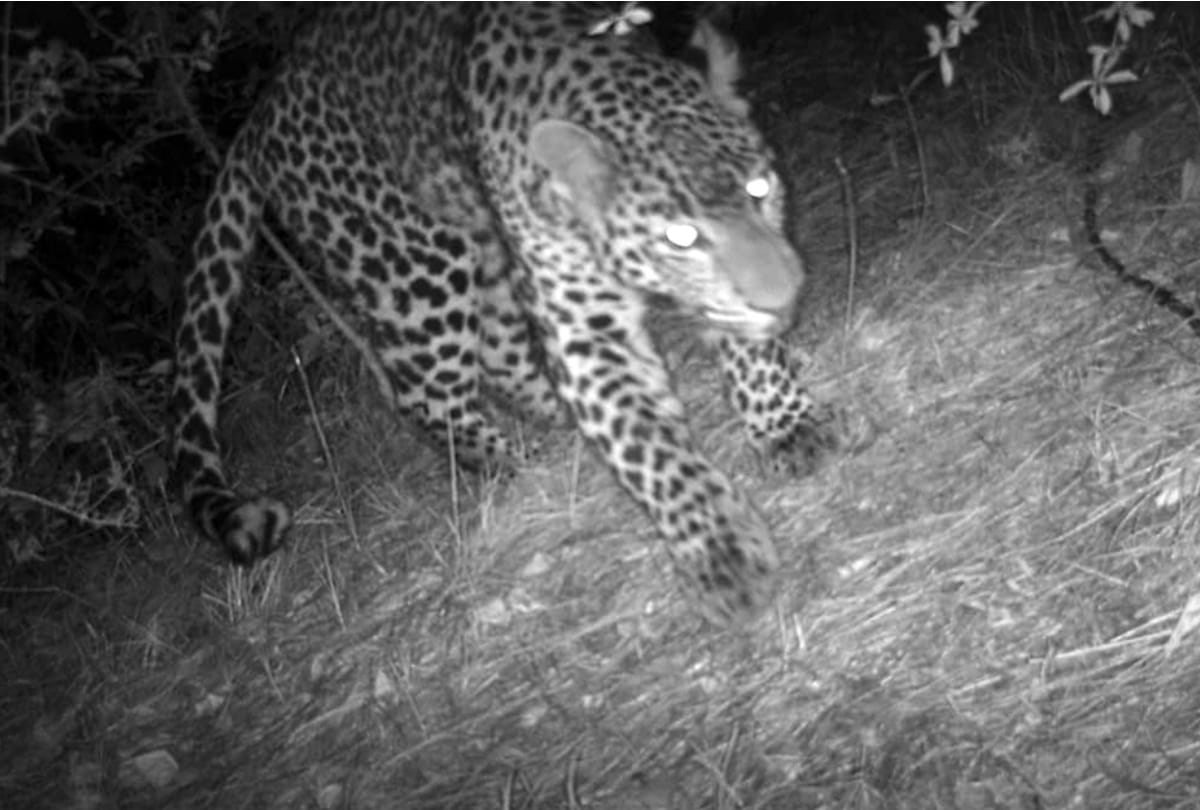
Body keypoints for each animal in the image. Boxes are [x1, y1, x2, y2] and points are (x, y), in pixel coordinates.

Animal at [171, 2, 841, 624]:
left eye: (760, 189)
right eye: (681, 236)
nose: (784, 295)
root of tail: (260, 111)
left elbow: (748, 351)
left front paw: (786, 426)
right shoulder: (582, 325)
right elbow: (646, 447)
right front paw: (723, 559)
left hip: (482, 252)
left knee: (498, 352)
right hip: (419, 261)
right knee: (423, 392)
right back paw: (513, 462)